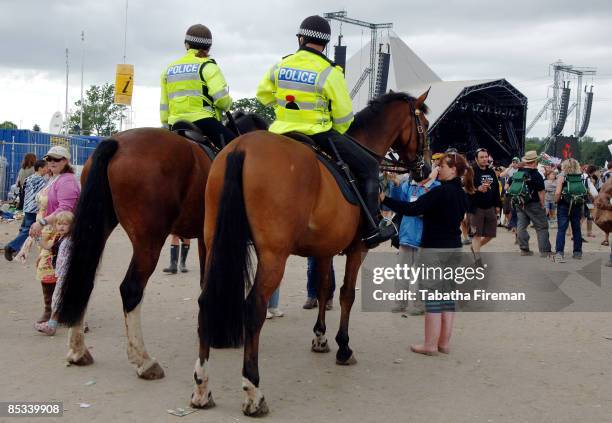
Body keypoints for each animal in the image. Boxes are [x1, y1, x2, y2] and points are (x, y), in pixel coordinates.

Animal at [56, 113, 266, 380]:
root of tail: (116, 143)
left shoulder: (205, 239)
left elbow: (205, 281)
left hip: (98, 227)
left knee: (85, 276)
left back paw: (78, 350)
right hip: (149, 241)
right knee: (131, 289)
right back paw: (144, 361)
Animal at [191, 91, 430, 416]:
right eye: (425, 125)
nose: (427, 169)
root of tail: (241, 147)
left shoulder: (325, 250)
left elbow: (324, 287)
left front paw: (320, 337)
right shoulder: (357, 250)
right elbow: (346, 294)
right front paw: (343, 346)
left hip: (215, 243)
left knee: (205, 302)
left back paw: (202, 386)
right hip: (273, 256)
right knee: (254, 308)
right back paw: (253, 391)